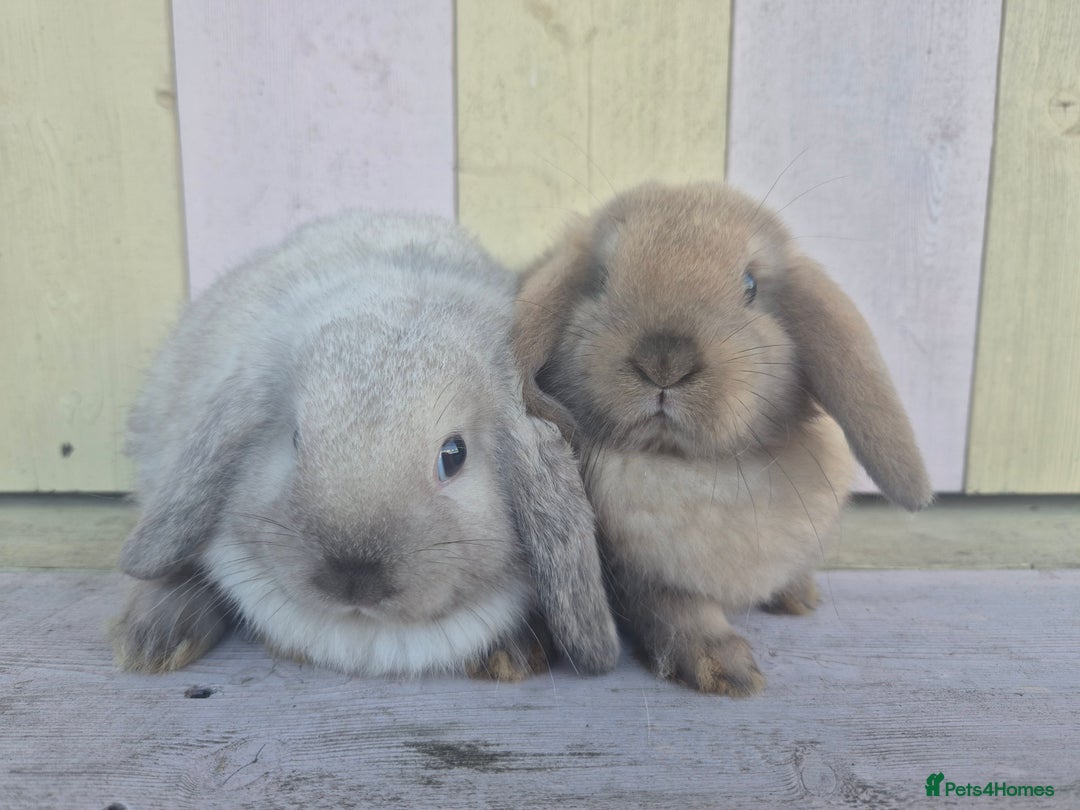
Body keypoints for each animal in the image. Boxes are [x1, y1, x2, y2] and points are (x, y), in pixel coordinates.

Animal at [513, 181, 932, 695]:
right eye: (601, 279)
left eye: (751, 286)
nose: (664, 361)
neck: (702, 468)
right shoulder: (647, 579)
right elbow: (679, 611)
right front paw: (725, 669)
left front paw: (797, 593)